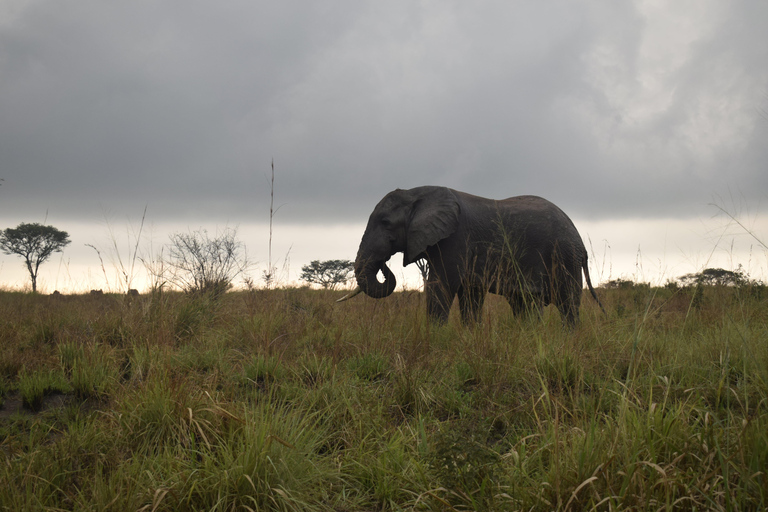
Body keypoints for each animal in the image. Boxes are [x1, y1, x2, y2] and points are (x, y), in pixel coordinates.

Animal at [340, 186, 604, 326]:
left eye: (385, 222)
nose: (385, 264)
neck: (418, 193)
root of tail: (580, 239)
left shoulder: (455, 240)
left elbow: (441, 286)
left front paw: (434, 336)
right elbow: (470, 295)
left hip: (565, 256)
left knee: (568, 305)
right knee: (525, 303)